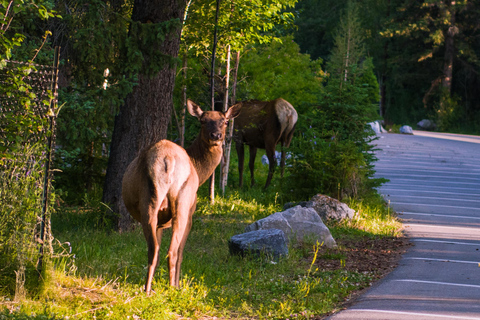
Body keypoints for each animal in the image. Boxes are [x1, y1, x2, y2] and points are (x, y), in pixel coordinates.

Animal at [120, 99, 240, 294]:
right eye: (203, 121)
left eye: (225, 121)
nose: (216, 135)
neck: (200, 170)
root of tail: (168, 159)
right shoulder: (191, 213)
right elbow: (182, 252)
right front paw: (177, 284)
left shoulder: (161, 222)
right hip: (183, 203)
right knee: (173, 251)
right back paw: (172, 289)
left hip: (151, 201)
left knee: (154, 250)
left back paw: (147, 290)